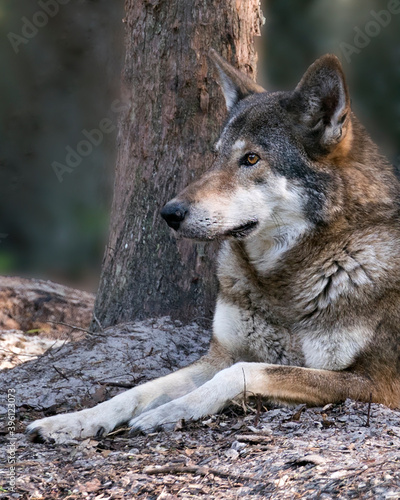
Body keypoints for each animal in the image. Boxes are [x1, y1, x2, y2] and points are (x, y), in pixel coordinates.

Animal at [27, 48, 400, 444]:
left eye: (251, 158)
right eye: (216, 155)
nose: (169, 213)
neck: (283, 282)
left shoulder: (377, 382)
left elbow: (246, 371)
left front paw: (167, 412)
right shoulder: (219, 355)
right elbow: (136, 390)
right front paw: (70, 420)